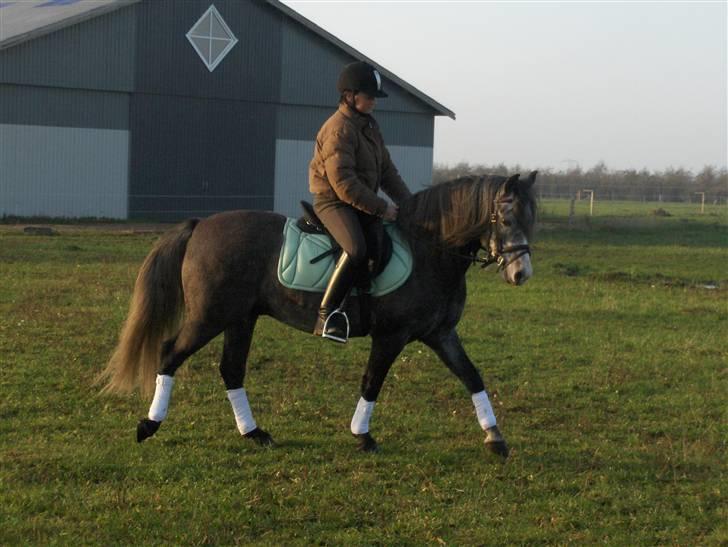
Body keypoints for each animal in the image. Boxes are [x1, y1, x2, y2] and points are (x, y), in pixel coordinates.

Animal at [100, 171, 538, 457]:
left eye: (530, 218)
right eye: (506, 217)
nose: (521, 274)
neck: (431, 249)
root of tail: (201, 225)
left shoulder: (441, 333)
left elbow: (472, 376)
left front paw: (495, 437)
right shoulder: (392, 335)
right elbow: (371, 382)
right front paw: (362, 436)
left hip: (240, 318)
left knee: (231, 370)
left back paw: (254, 433)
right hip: (210, 316)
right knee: (170, 354)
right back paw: (149, 425)